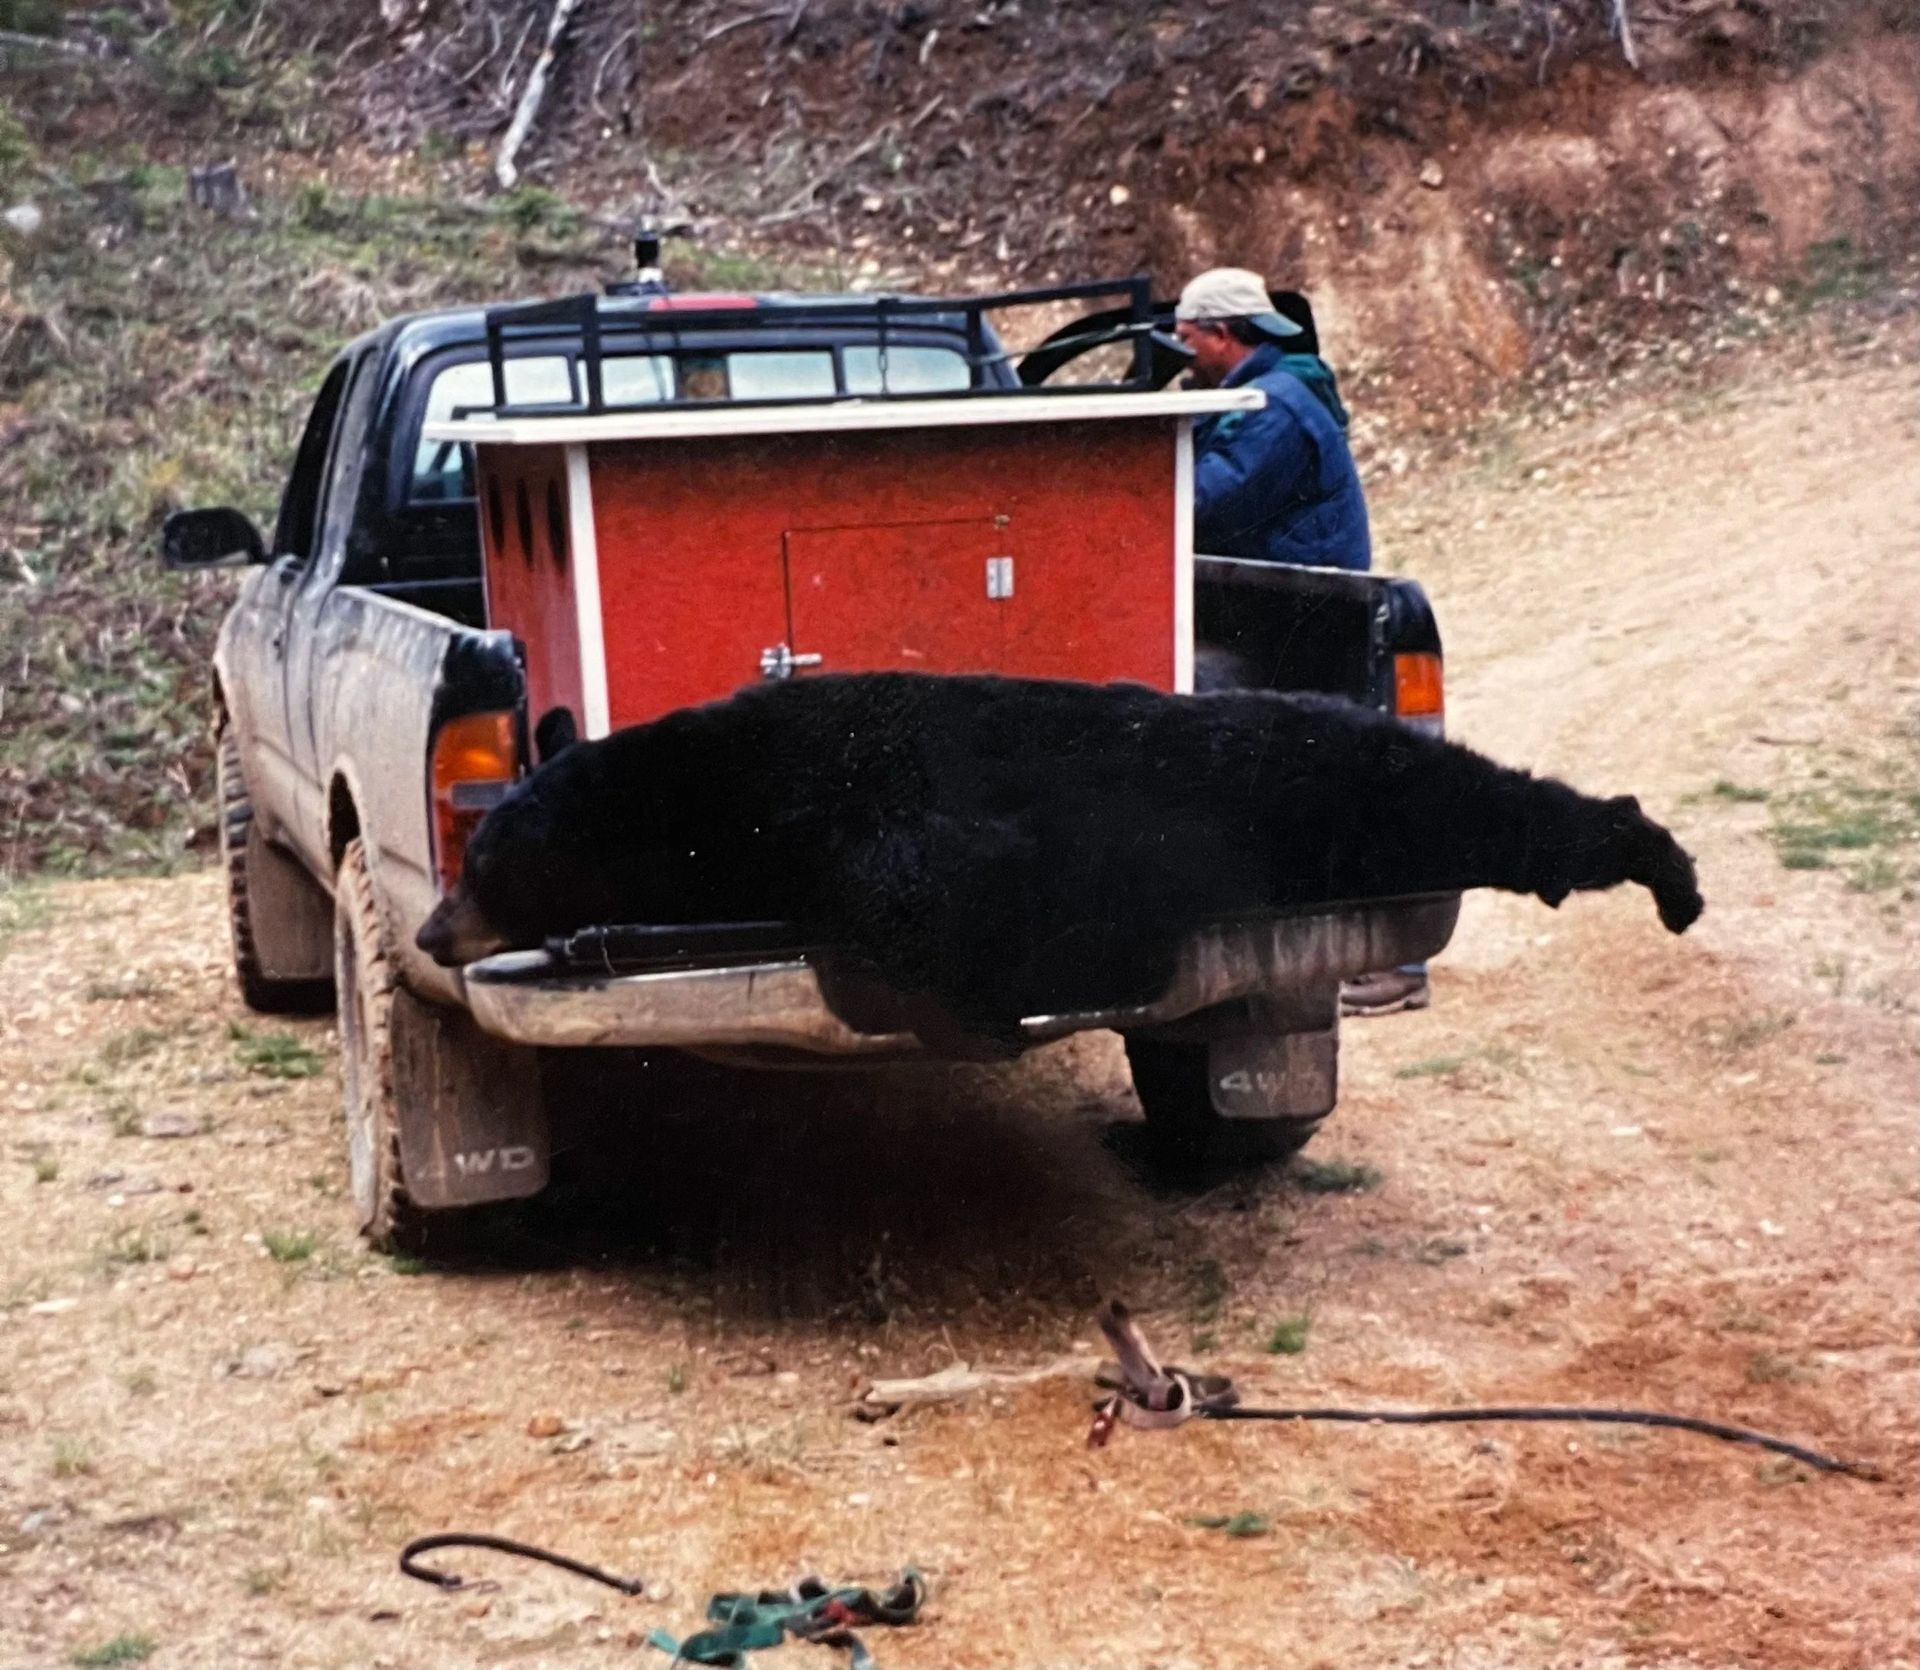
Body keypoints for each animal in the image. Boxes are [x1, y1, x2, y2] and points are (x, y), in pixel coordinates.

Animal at [417, 672, 1703, 1051]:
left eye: (483, 864)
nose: (430, 929)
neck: (716, 794)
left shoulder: (868, 808)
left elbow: (935, 898)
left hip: (1334, 791)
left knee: (1492, 802)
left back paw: (1663, 866)